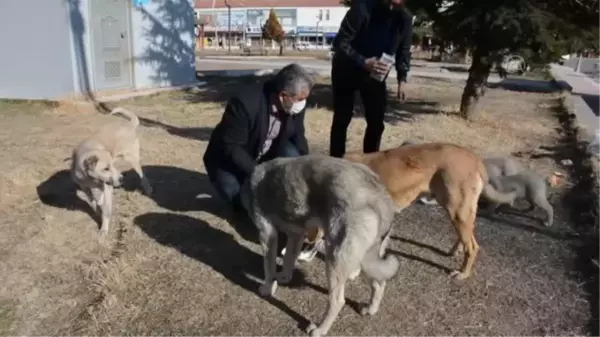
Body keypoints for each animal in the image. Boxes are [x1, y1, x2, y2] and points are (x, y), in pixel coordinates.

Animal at [70, 107, 152, 236]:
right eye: (106, 168)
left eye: (111, 166)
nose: (121, 179)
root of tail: (129, 124)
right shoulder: (85, 187)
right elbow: (93, 202)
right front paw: (97, 210)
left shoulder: (107, 187)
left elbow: (106, 210)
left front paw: (104, 229)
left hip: (132, 159)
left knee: (142, 176)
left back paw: (148, 189)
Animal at [241, 154, 400, 336]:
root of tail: (380, 195)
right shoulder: (296, 234)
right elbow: (288, 257)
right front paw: (284, 277)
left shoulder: (267, 234)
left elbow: (269, 269)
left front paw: (267, 289)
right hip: (368, 258)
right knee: (379, 283)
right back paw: (371, 309)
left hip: (335, 258)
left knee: (337, 301)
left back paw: (320, 329)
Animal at [340, 141, 516, 278]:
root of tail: (473, 157)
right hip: (460, 211)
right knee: (468, 235)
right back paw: (455, 250)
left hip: (457, 210)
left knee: (473, 247)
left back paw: (463, 273)